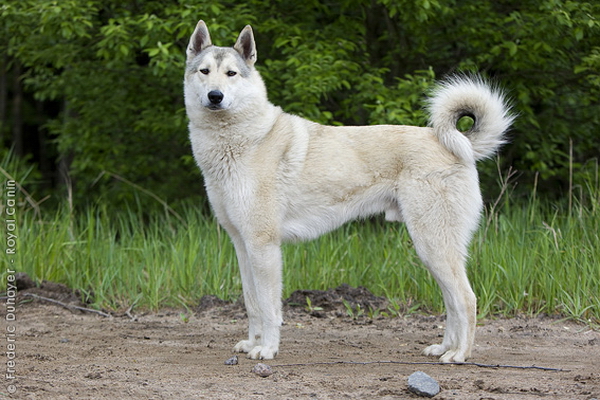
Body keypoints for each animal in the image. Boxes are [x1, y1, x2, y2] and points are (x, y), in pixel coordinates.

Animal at [184, 21, 516, 362]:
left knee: (466, 299)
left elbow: (268, 307)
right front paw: (252, 343)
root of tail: (454, 143)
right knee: (451, 301)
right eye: (204, 71)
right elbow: (251, 304)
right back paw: (444, 348)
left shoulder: (264, 247)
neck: (241, 141)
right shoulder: (243, 245)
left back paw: (459, 354)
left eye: (232, 73)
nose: (215, 96)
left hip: (433, 245)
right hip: (432, 250)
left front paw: (267, 349)